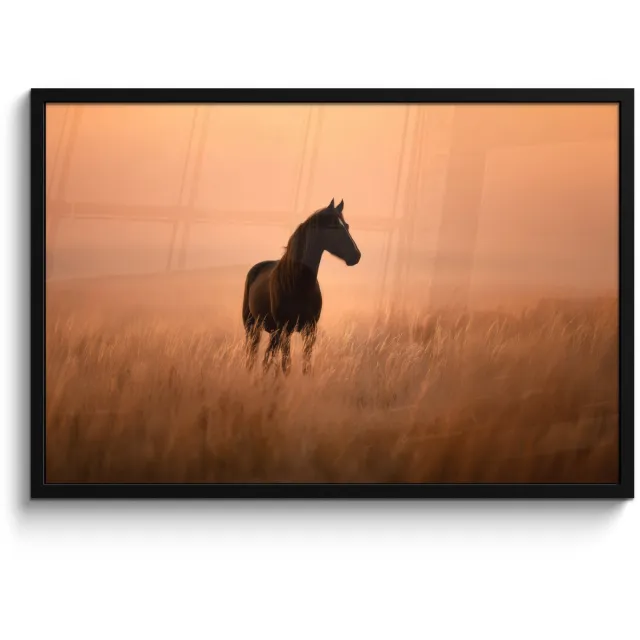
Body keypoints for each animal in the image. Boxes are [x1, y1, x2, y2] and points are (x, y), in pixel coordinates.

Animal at [242, 198, 361, 375]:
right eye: (334, 226)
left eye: (346, 225)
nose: (356, 256)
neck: (298, 283)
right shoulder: (285, 329)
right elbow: (286, 364)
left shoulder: (309, 330)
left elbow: (306, 364)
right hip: (253, 326)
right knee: (254, 355)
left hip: (273, 332)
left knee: (267, 357)